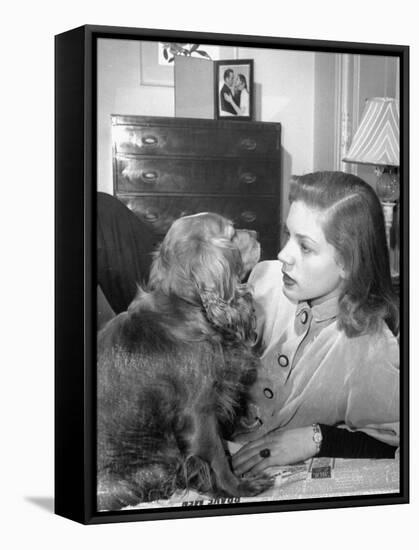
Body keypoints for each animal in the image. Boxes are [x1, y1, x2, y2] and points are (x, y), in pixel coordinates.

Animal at [97, 212, 270, 512]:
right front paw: (238, 488)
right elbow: (218, 457)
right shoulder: (199, 413)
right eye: (232, 234)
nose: (258, 233)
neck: (187, 306)